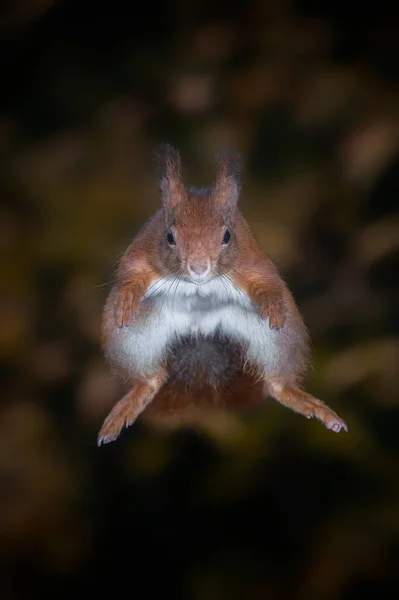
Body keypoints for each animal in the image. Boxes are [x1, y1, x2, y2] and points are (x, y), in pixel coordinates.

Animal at [98, 145, 348, 446]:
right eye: (170, 236)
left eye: (227, 235)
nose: (198, 268)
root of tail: (200, 331)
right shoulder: (142, 252)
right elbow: (130, 275)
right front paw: (126, 300)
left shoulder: (252, 262)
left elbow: (266, 282)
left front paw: (272, 305)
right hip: (133, 338)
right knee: (150, 380)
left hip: (277, 340)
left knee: (277, 384)